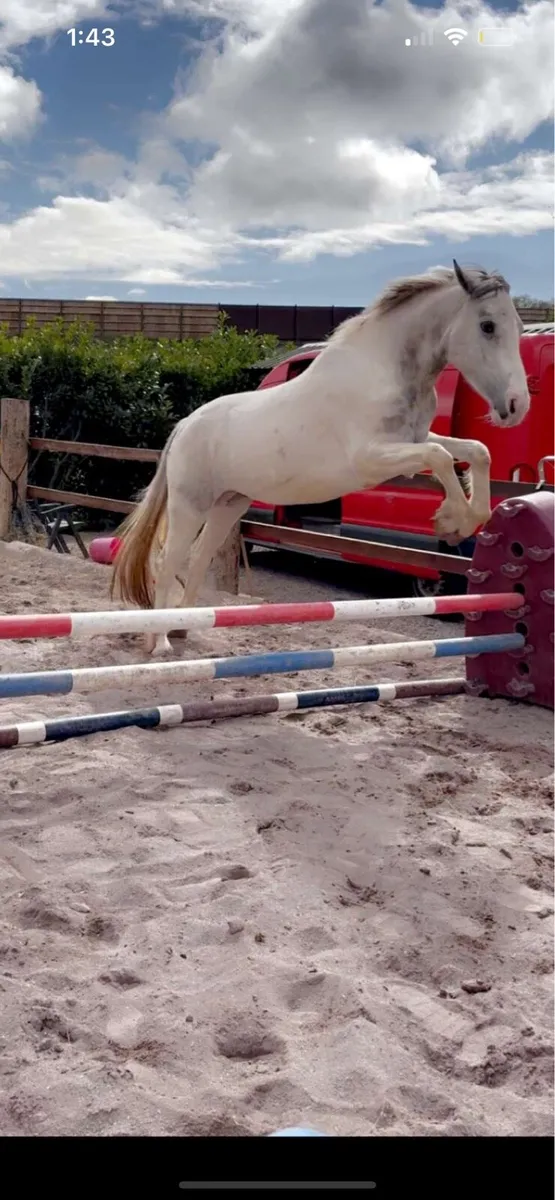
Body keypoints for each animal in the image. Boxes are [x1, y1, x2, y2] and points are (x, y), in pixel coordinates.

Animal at [111, 261, 530, 656]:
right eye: (488, 325)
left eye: (519, 325)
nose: (517, 406)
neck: (384, 371)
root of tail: (184, 424)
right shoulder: (371, 459)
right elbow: (441, 457)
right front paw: (451, 522)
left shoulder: (412, 439)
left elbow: (475, 451)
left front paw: (470, 518)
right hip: (190, 504)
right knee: (169, 561)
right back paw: (161, 642)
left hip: (229, 504)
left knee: (197, 557)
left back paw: (183, 628)